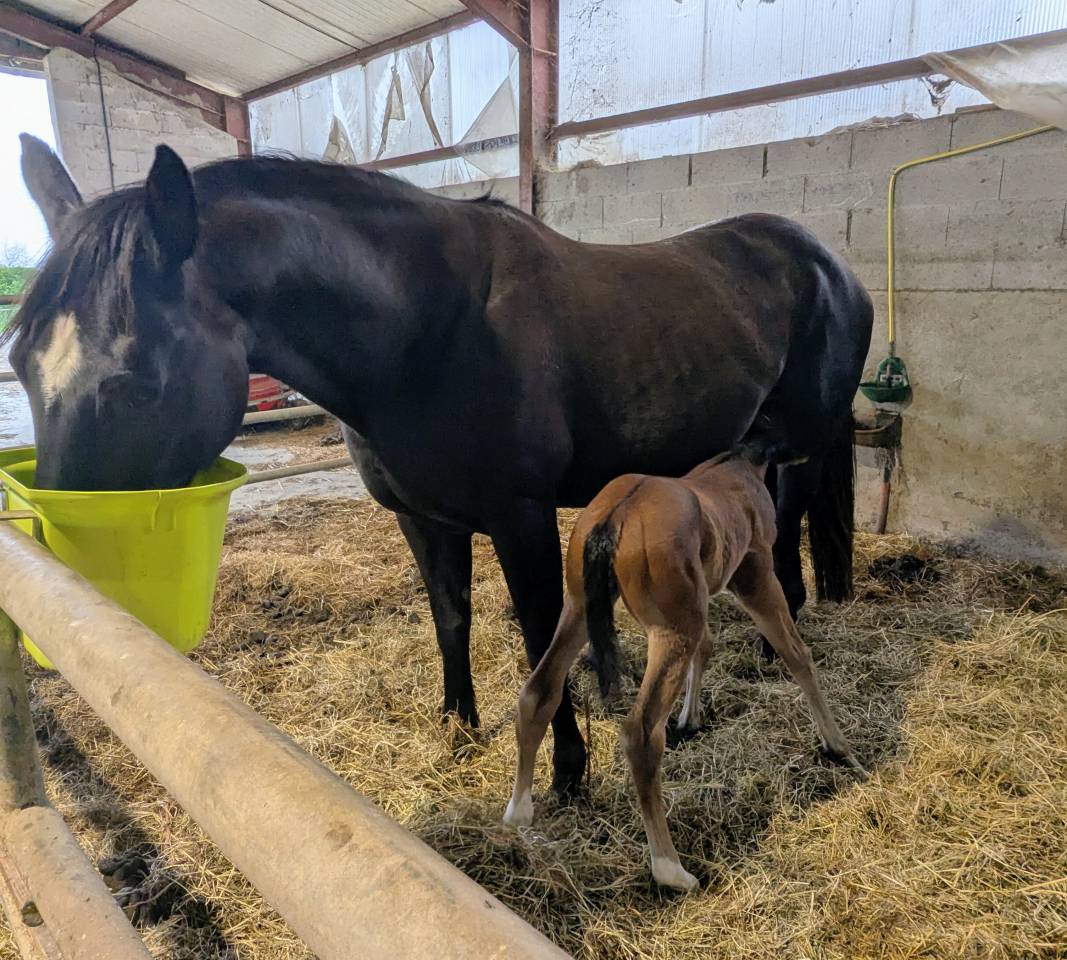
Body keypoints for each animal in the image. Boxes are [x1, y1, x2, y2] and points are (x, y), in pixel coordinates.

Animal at [11, 135, 873, 795]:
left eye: (136, 381)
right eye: (19, 363)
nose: (74, 590)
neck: (428, 326)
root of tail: (827, 263)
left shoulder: (521, 518)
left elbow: (540, 637)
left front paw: (567, 770)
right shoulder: (423, 519)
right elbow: (449, 619)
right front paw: (459, 728)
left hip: (800, 448)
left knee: (787, 535)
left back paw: (775, 647)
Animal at [503, 445, 865, 892]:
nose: (810, 454)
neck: (741, 463)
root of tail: (612, 520)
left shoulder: (702, 597)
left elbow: (707, 648)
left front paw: (689, 719)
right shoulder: (754, 572)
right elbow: (796, 654)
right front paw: (839, 747)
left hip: (580, 607)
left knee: (538, 693)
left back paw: (517, 813)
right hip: (671, 628)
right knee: (640, 733)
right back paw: (672, 869)